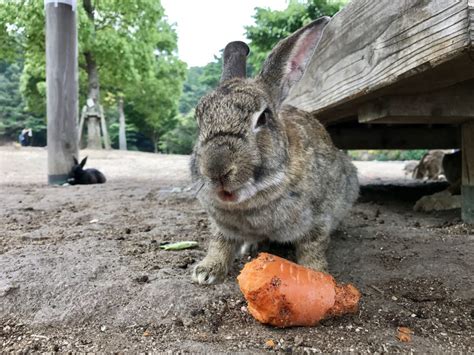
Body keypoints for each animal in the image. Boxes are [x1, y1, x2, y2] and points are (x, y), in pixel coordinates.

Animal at [191, 17, 358, 286]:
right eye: (199, 121)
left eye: (263, 118)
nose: (216, 170)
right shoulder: (221, 226)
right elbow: (220, 242)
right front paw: (207, 271)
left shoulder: (318, 219)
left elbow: (312, 247)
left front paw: (318, 276)